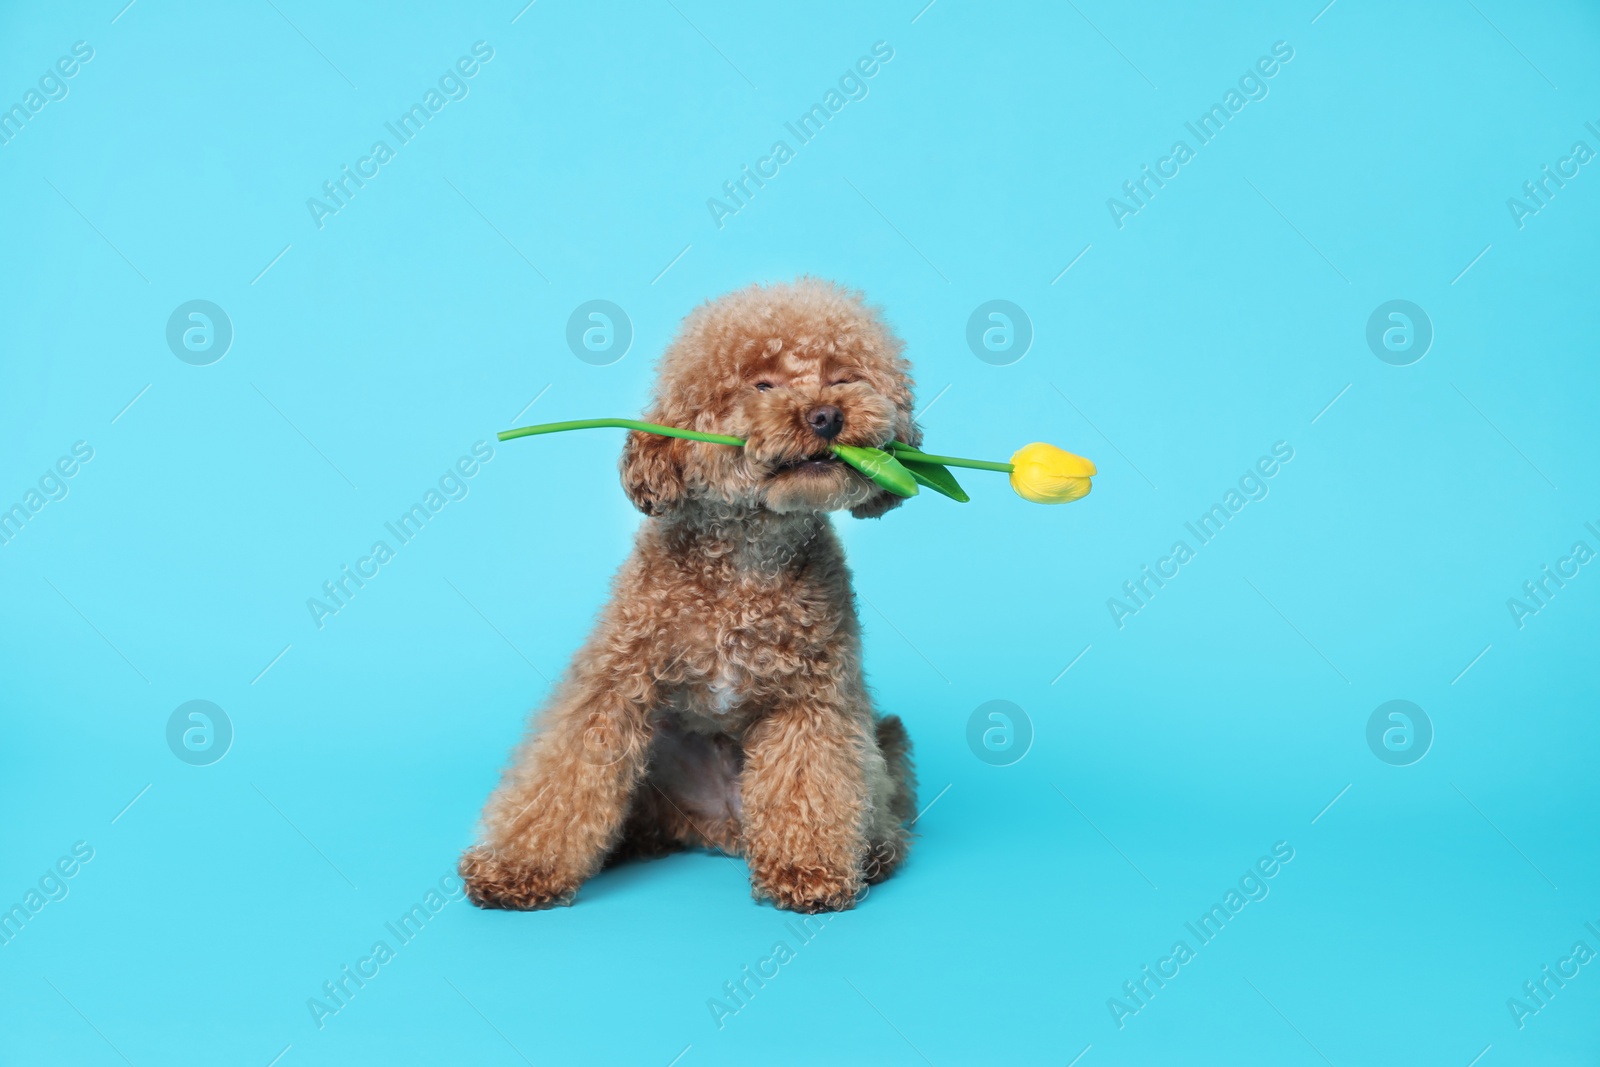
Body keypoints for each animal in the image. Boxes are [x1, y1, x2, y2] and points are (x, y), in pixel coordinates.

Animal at [457, 279, 921, 915]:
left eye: (844, 377)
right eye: (761, 385)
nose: (826, 416)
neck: (748, 560)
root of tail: (718, 829)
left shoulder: (813, 702)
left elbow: (812, 781)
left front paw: (808, 871)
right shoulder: (612, 685)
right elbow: (564, 773)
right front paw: (518, 866)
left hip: (880, 735)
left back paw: (873, 852)